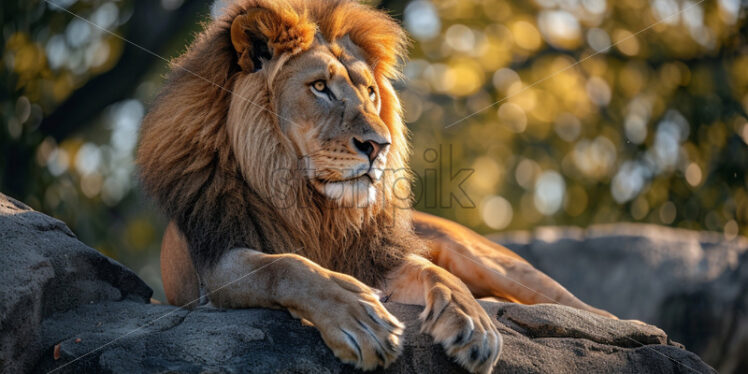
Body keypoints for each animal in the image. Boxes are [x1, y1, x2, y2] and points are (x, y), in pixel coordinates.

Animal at [134, 1, 612, 372]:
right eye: (320, 87)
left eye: (369, 93)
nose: (378, 145)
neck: (312, 206)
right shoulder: (215, 265)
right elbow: (288, 266)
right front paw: (361, 319)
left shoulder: (379, 256)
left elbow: (434, 272)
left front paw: (473, 321)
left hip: (490, 261)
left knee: (593, 311)